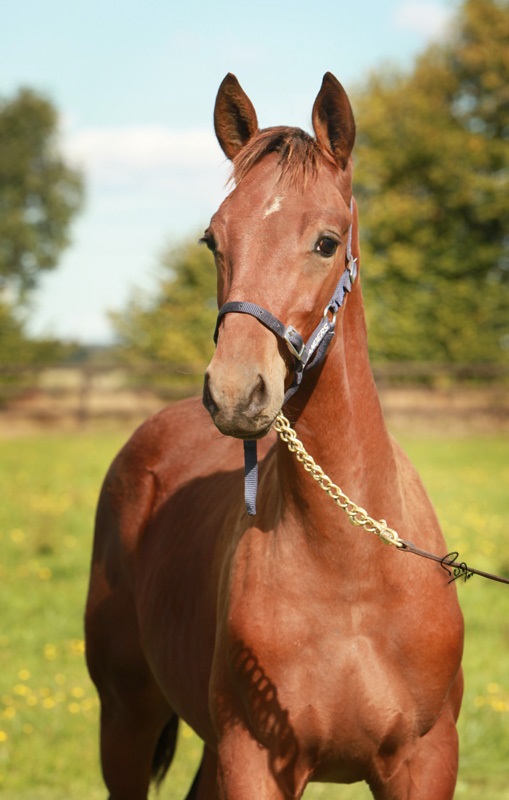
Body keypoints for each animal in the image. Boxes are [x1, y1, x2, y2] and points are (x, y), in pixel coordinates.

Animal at [85, 72, 464, 799]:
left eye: (326, 241)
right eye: (213, 239)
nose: (235, 392)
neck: (351, 571)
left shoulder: (425, 760)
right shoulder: (254, 759)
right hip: (124, 718)